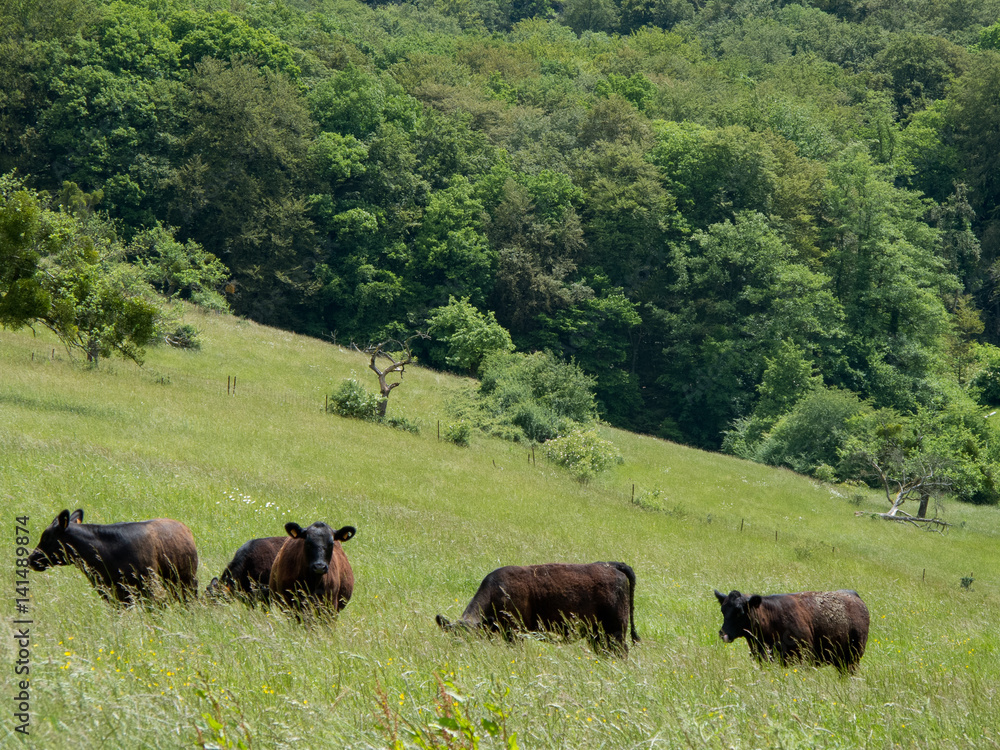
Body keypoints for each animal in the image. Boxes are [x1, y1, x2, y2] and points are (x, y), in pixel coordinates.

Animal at [434, 560, 636, 656]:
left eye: (474, 638)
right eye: (454, 637)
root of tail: (612, 565)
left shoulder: (514, 632)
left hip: (615, 630)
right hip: (597, 633)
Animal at [712, 588, 868, 676]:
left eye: (740, 612)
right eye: (723, 610)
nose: (723, 633)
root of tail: (854, 596)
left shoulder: (804, 658)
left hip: (853, 658)